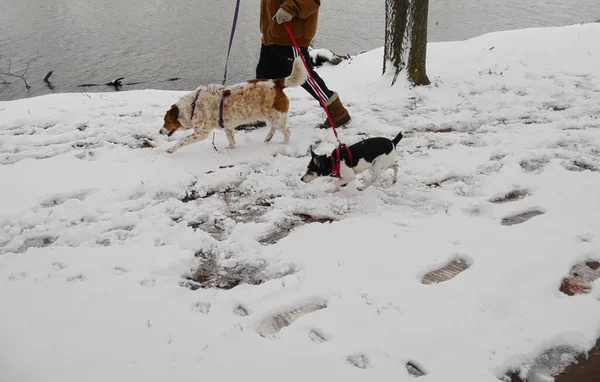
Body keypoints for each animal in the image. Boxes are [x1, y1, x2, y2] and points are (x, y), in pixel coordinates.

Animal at [161, 55, 304, 154]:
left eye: (166, 121)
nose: (160, 131)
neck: (193, 106)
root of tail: (276, 82)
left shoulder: (201, 132)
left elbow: (182, 140)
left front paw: (171, 149)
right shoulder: (227, 126)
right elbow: (231, 139)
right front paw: (230, 148)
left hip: (274, 116)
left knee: (287, 131)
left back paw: (285, 144)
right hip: (268, 116)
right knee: (274, 128)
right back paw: (268, 138)